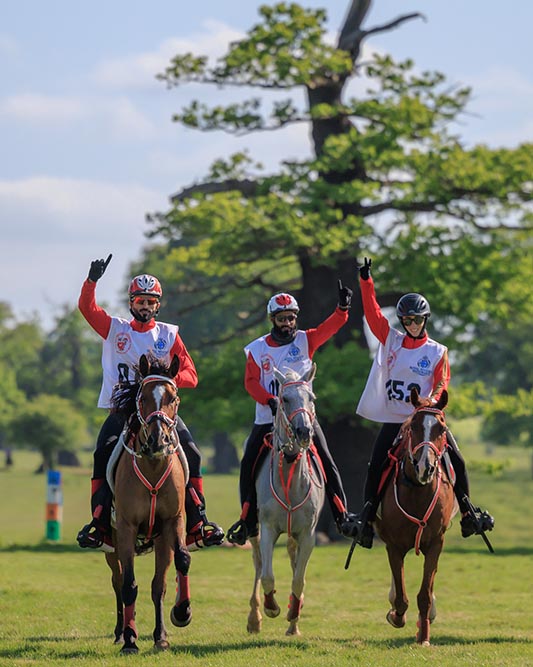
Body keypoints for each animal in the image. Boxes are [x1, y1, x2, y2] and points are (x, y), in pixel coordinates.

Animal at [102, 352, 191, 656]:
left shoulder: (173, 521)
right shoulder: (127, 527)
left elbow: (174, 569)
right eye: (142, 398)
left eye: (174, 398)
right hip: (113, 544)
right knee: (117, 582)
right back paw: (120, 632)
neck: (152, 465)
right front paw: (130, 640)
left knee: (154, 584)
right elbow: (129, 584)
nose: (158, 440)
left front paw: (178, 617)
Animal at [245, 366, 324, 636]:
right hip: (254, 531)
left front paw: (293, 612)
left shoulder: (308, 535)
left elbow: (299, 579)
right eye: (285, 399)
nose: (304, 432)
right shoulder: (268, 529)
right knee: (258, 564)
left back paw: (293, 624)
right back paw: (254, 618)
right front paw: (272, 607)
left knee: (292, 560)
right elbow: (267, 575)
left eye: (311, 398)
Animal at [372, 386, 456, 648]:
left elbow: (424, 594)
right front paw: (396, 616)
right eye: (414, 427)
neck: (418, 490)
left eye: (441, 429)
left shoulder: (436, 543)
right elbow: (401, 595)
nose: (424, 467)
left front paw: (424, 635)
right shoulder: (394, 546)